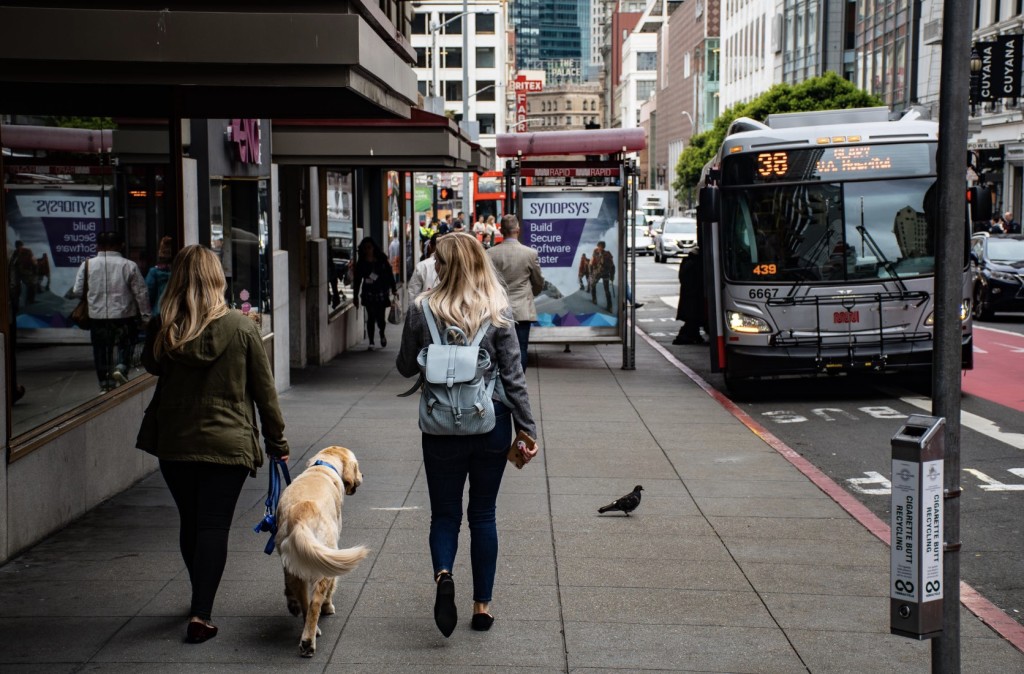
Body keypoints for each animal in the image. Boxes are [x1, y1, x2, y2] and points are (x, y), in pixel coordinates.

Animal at [274, 444, 370, 655]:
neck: (323, 467)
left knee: (304, 602)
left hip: (296, 563)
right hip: (325, 559)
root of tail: (301, 517)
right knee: (315, 603)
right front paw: (328, 606)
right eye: (357, 466)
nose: (363, 475)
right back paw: (309, 641)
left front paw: (291, 602)